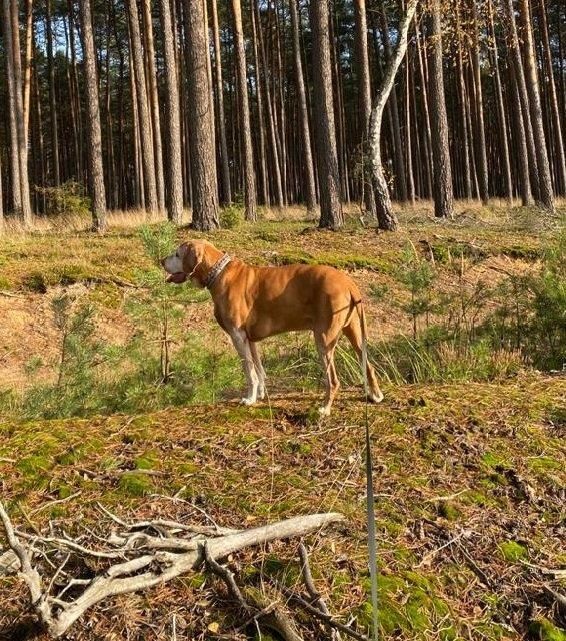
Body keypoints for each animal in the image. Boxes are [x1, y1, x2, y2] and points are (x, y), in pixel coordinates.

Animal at [164, 240, 386, 416]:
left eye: (177, 254)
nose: (161, 261)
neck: (218, 273)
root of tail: (348, 283)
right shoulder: (250, 339)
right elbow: (259, 369)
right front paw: (261, 394)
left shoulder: (237, 336)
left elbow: (249, 372)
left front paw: (249, 399)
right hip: (355, 333)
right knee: (368, 365)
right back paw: (375, 395)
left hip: (324, 339)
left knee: (333, 380)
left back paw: (325, 408)